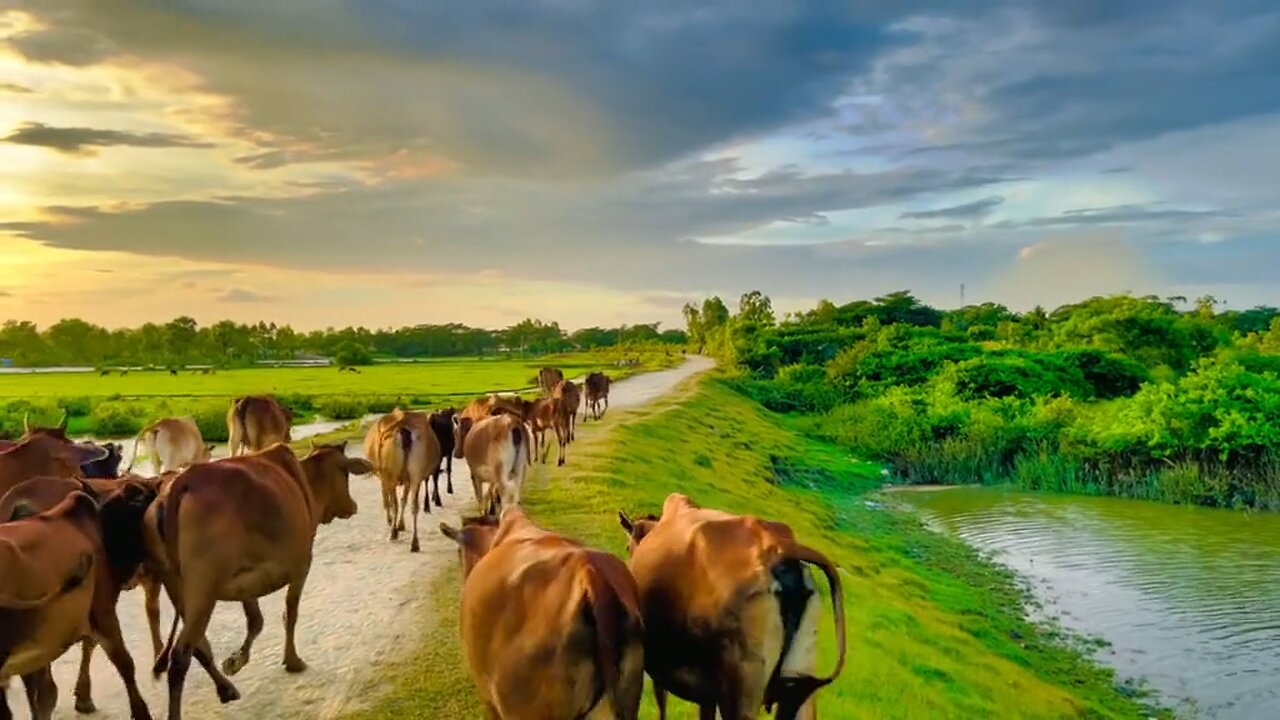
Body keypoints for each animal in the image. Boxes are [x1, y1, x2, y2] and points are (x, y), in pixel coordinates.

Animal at [150, 440, 373, 712]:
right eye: (346, 474)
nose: (352, 506)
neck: (306, 482)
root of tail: (183, 481)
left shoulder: (245, 580)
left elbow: (256, 621)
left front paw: (237, 659)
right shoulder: (301, 566)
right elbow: (290, 614)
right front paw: (292, 661)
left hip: (177, 587)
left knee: (199, 646)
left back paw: (226, 689)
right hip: (203, 589)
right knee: (181, 656)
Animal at [363, 407, 442, 550]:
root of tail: (403, 428)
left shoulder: (385, 477)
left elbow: (387, 499)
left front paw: (391, 522)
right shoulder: (407, 480)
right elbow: (403, 499)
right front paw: (401, 524)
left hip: (392, 474)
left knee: (394, 503)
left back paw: (393, 532)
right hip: (416, 473)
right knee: (414, 505)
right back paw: (414, 543)